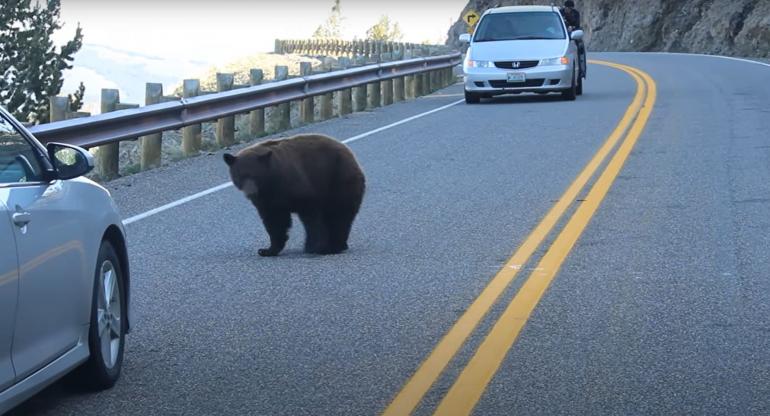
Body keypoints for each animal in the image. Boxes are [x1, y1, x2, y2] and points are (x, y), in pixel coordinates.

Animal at [223, 133, 365, 257]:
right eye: (240, 175)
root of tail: (351, 155)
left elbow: (311, 217)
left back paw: (334, 246)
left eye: (255, 175)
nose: (250, 191)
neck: (271, 182)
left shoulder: (297, 186)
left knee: (339, 214)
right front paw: (268, 250)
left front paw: (314, 247)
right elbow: (274, 220)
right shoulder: (266, 200)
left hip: (339, 181)